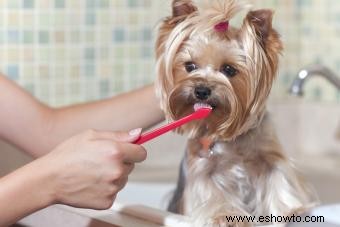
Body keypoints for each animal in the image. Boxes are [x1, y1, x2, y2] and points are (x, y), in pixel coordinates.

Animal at [155, 0, 314, 227]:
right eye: (190, 66)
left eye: (229, 70)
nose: (201, 90)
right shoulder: (202, 168)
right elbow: (213, 194)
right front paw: (226, 217)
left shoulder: (270, 158)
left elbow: (279, 181)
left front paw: (292, 211)